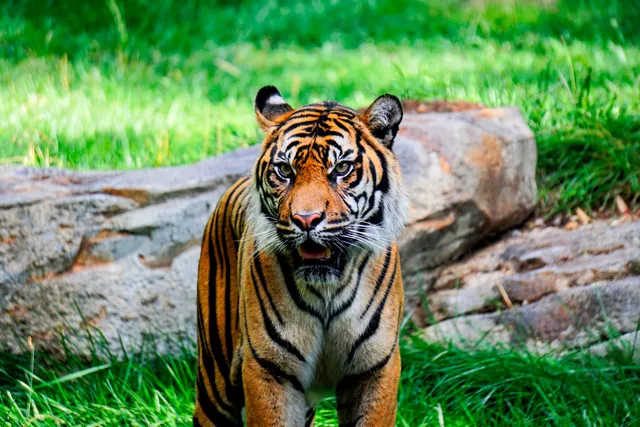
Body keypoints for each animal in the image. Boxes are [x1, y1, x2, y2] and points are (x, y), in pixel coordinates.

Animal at [194, 86, 410, 427]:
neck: (328, 290)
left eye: (341, 168)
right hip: (216, 379)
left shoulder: (375, 366)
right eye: (285, 170)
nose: (306, 220)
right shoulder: (269, 369)